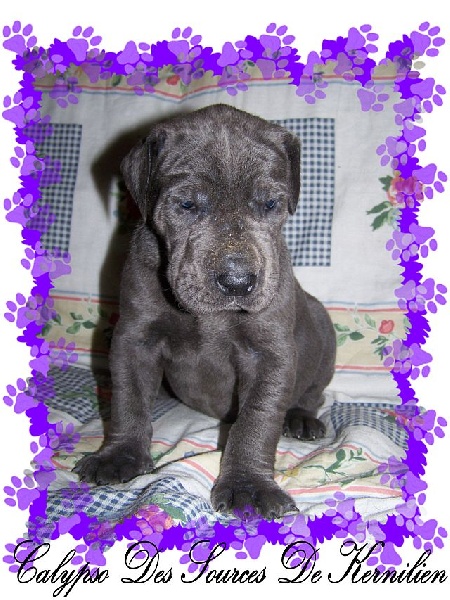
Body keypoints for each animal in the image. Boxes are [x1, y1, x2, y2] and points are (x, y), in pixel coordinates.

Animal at [74, 104, 336, 519]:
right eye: (187, 205)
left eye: (270, 204)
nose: (237, 281)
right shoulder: (135, 339)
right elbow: (128, 398)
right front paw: (120, 456)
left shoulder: (270, 353)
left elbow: (257, 419)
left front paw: (248, 485)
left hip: (324, 333)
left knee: (313, 393)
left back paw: (302, 420)